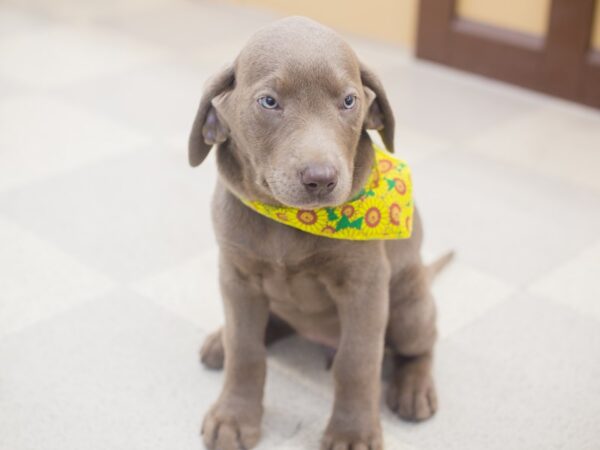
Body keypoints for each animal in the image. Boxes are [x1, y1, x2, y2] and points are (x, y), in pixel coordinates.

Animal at [189, 15, 450, 450]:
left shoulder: (365, 287)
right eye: (269, 102)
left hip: (409, 307)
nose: (321, 179)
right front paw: (234, 416)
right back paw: (219, 342)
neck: (291, 221)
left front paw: (352, 432)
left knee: (420, 346)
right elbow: (246, 350)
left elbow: (357, 362)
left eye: (348, 101)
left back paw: (413, 388)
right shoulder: (237, 277)